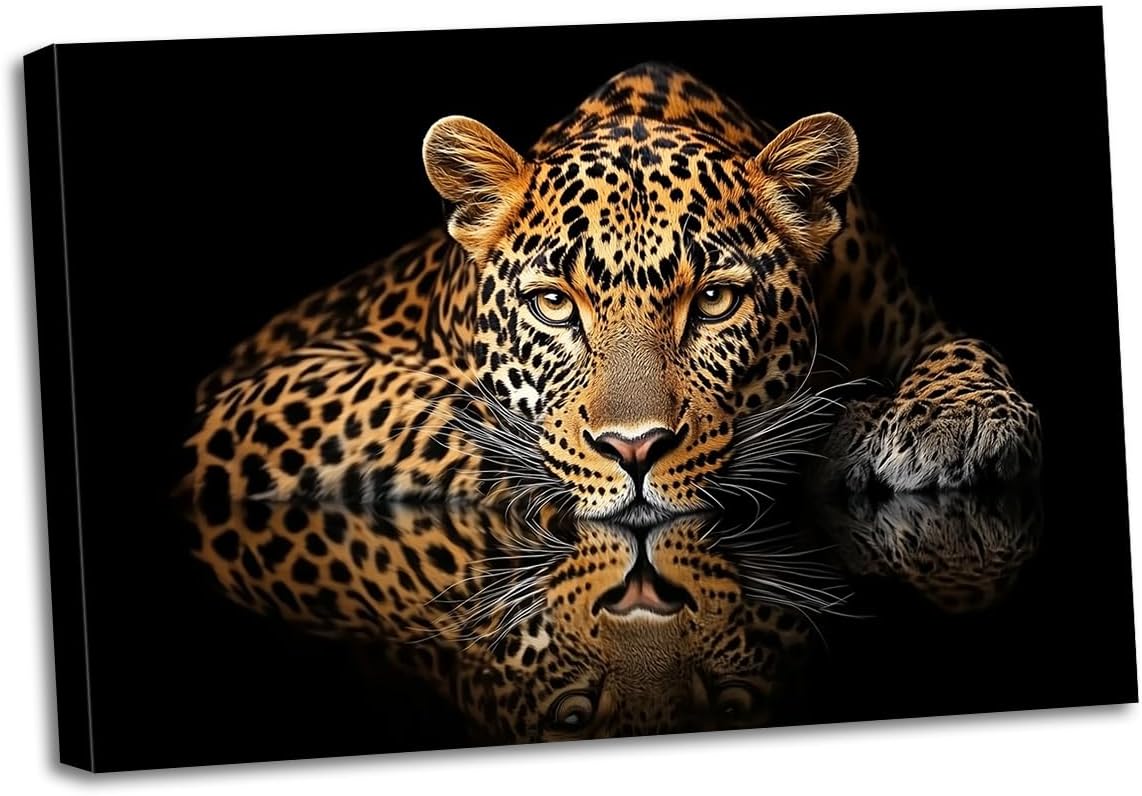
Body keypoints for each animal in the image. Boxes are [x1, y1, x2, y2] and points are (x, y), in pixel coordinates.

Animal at [180, 61, 1042, 527]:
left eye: (715, 302)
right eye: (555, 304)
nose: (636, 451)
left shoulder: (908, 314)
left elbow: (962, 343)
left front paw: (953, 422)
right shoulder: (258, 392)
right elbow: (446, 407)